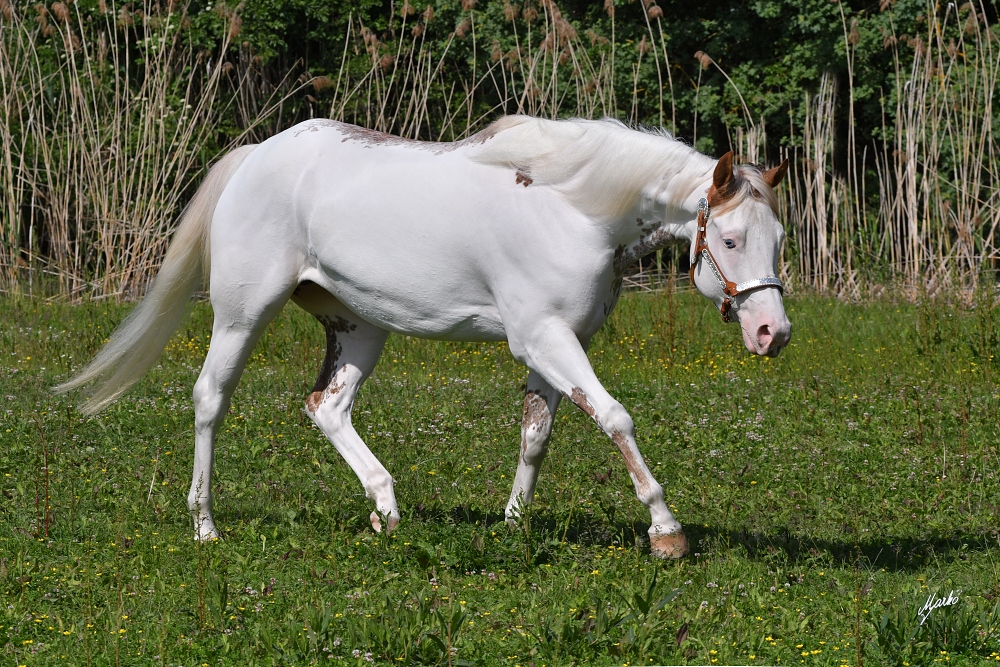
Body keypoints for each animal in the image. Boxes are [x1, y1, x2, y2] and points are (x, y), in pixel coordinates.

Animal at [56, 115, 788, 560]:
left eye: (778, 239)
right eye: (729, 239)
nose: (772, 332)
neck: (573, 209)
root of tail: (254, 156)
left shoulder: (554, 344)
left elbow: (536, 436)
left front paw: (513, 524)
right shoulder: (544, 337)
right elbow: (615, 417)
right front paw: (666, 530)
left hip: (359, 327)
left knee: (327, 407)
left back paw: (385, 506)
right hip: (242, 315)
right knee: (211, 398)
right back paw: (206, 524)